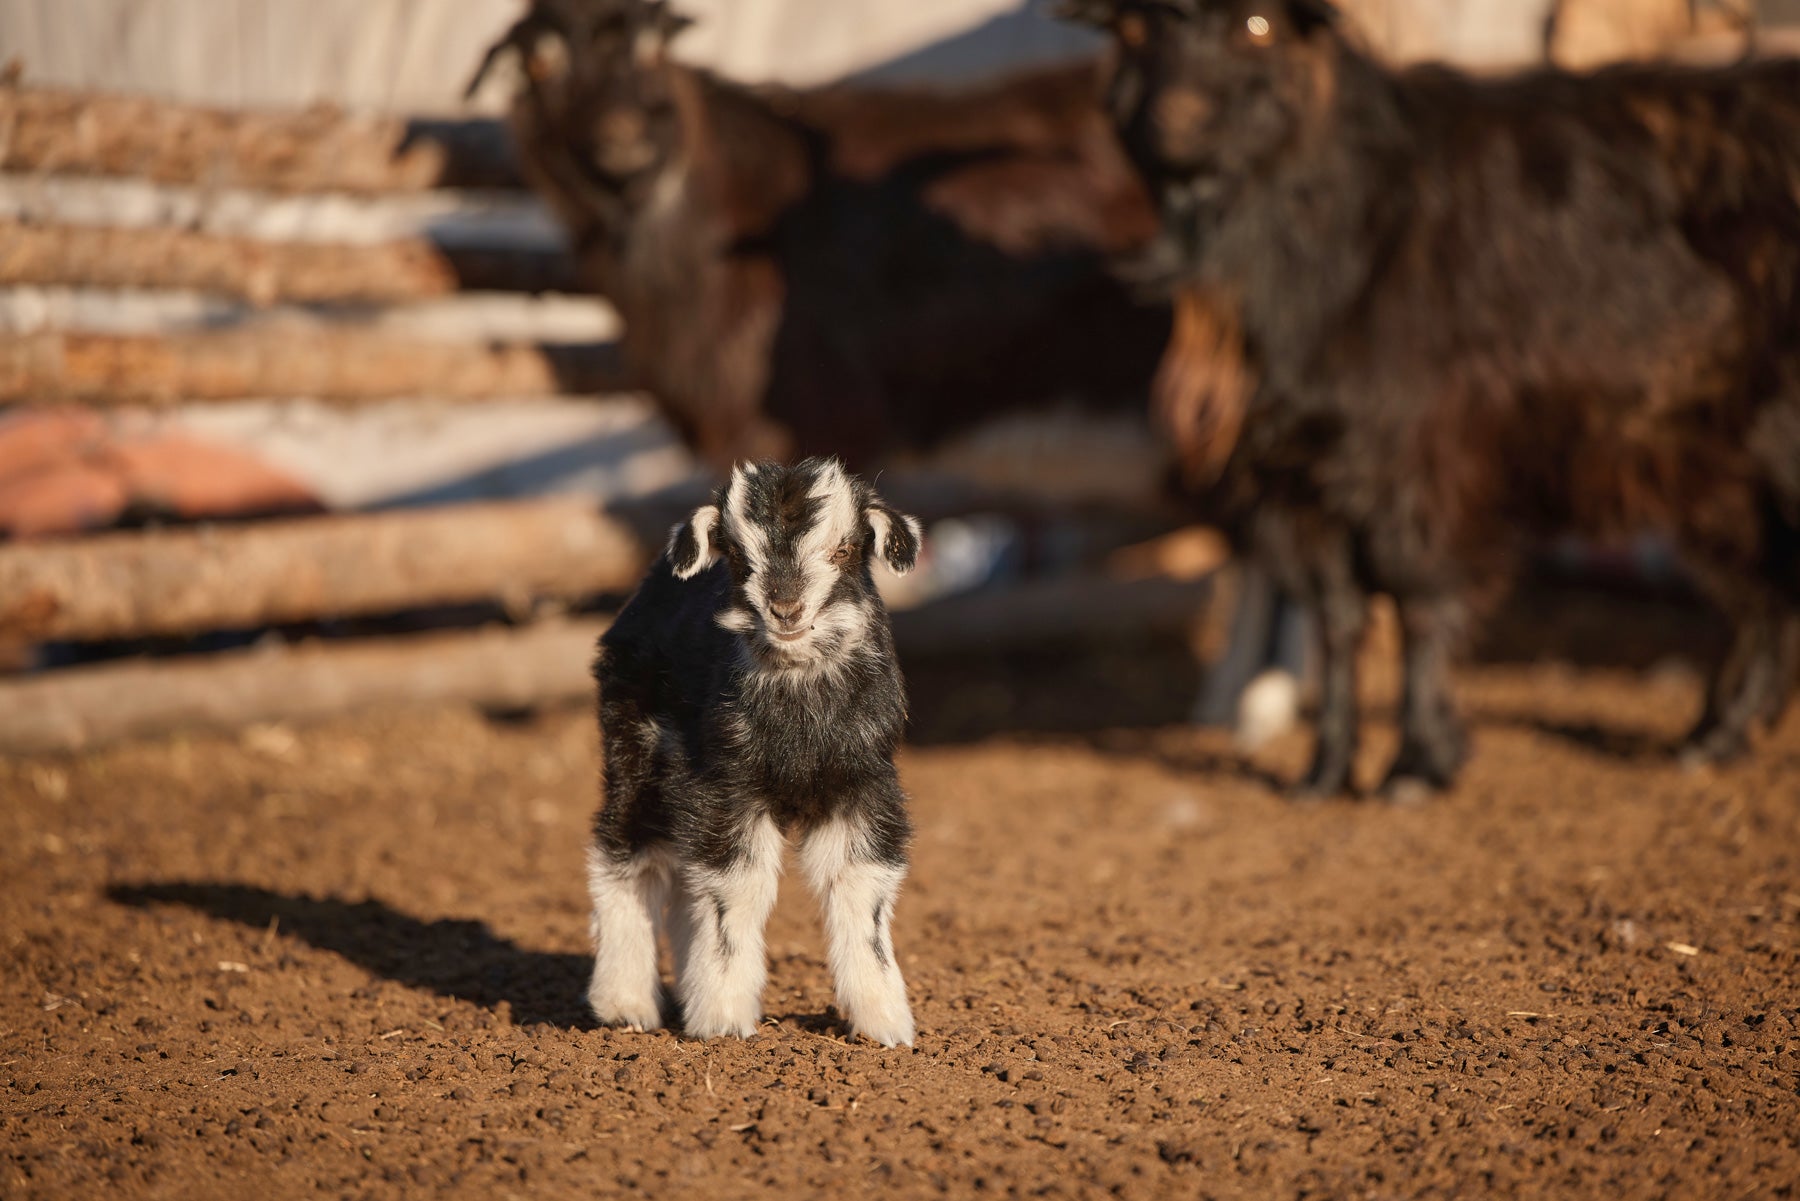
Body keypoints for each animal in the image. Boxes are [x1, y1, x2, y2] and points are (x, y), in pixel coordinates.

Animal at [590, 457, 921, 1044]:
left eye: (843, 550)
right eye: (741, 557)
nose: (785, 609)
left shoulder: (863, 784)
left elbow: (862, 890)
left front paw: (884, 1023)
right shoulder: (725, 788)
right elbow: (736, 890)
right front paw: (723, 1019)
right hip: (636, 747)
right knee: (627, 853)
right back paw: (625, 1005)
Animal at [1065, 0, 1800, 799]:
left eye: (1259, 26)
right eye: (1132, 31)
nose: (1176, 120)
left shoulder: (1420, 454)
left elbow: (1416, 597)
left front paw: (1416, 764)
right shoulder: (1302, 478)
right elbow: (1336, 615)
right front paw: (1324, 773)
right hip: (1708, 453)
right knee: (1760, 582)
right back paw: (1713, 736)